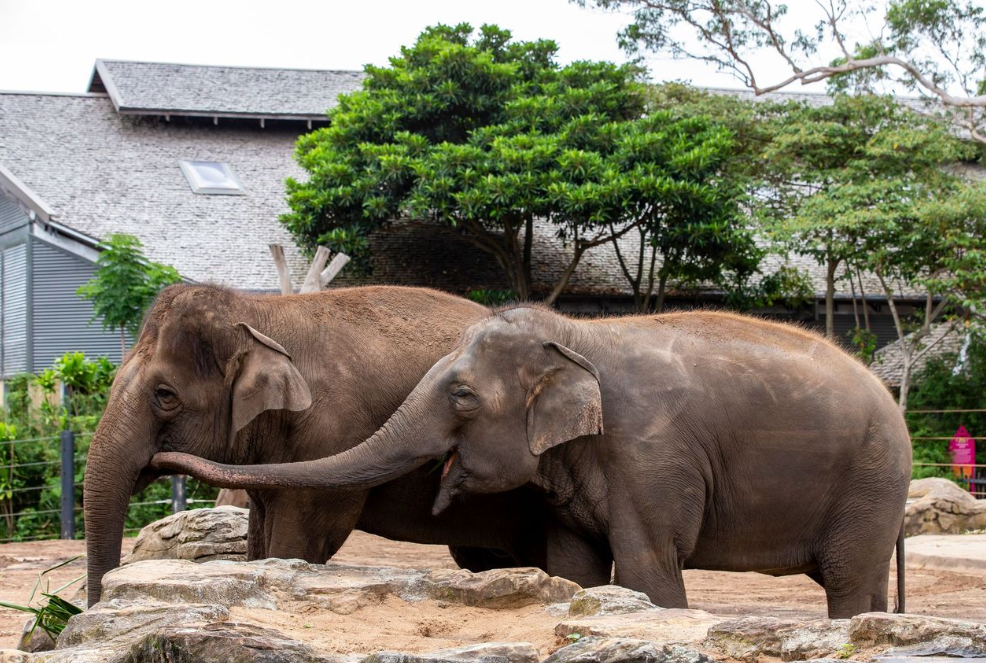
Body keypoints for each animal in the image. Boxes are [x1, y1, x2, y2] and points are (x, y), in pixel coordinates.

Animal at [153, 305, 912, 619]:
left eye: (461, 394)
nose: (162, 449)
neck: (576, 337)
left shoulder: (650, 456)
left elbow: (649, 569)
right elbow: (576, 569)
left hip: (872, 479)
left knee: (847, 580)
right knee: (865, 583)